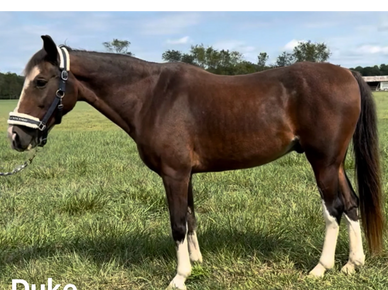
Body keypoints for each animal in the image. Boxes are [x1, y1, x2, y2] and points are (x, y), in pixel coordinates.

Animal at [6, 35, 384, 288]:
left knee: (333, 208)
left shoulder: (173, 174)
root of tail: (348, 73)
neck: (151, 96)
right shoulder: (186, 174)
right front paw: (198, 262)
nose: (16, 136)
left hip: (323, 162)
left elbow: (176, 223)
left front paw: (180, 276)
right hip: (335, 163)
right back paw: (352, 264)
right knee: (351, 204)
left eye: (41, 81)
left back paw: (321, 268)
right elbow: (190, 218)